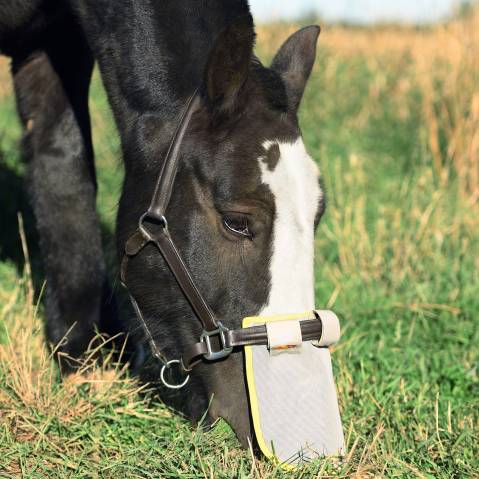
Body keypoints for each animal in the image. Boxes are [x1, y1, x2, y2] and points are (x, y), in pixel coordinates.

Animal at [0, 0, 324, 446]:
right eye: (236, 222)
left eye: (318, 215)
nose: (294, 415)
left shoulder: (55, 42)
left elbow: (62, 168)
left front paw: (83, 358)